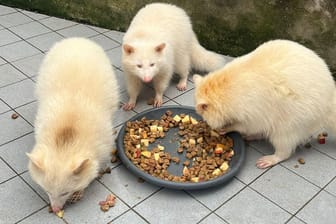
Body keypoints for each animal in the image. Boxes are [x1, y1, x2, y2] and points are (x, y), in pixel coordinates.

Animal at [27, 38, 119, 214]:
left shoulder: (103, 144)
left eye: (65, 192)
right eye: (47, 191)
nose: (55, 209)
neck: (66, 140)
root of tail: (77, 39)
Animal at [194, 39, 336, 168]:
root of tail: (329, 103)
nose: (207, 126)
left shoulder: (252, 107)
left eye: (204, 115)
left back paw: (275, 156)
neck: (222, 88)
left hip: (296, 120)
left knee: (284, 141)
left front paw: (229, 127)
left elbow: (249, 125)